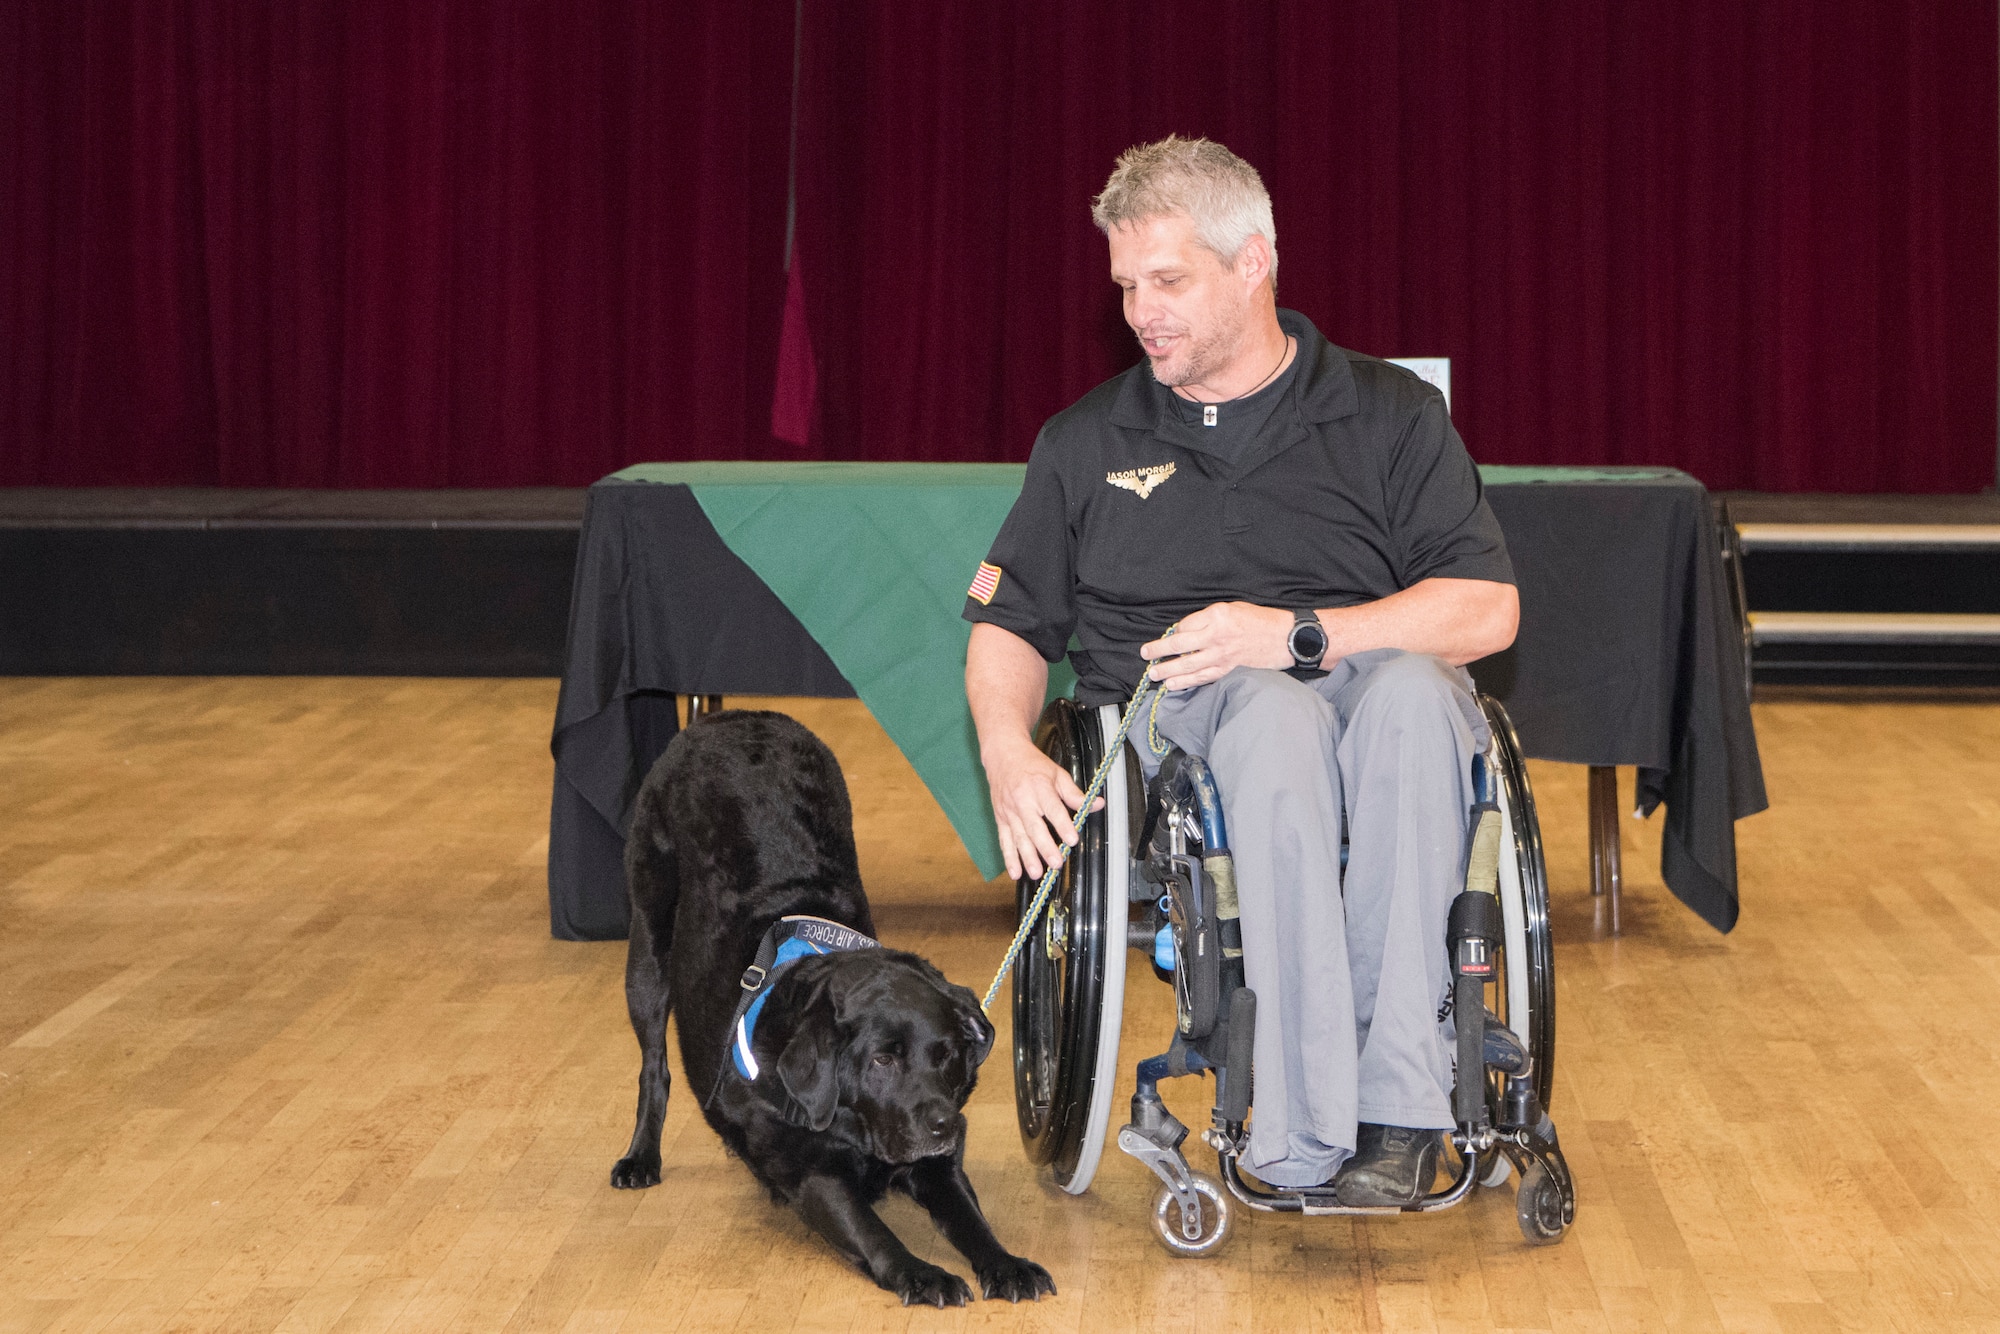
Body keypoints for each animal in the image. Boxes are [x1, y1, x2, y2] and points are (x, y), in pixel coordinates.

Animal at [608, 716, 1056, 1312]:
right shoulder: (813, 1171)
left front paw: (1007, 1264)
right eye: (883, 1061)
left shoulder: (937, 1164)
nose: (945, 1124)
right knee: (653, 1065)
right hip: (647, 942)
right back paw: (641, 1158)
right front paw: (924, 1274)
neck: (853, 1123)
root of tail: (730, 718)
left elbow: (971, 1221)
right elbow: (874, 1233)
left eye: (947, 1056)